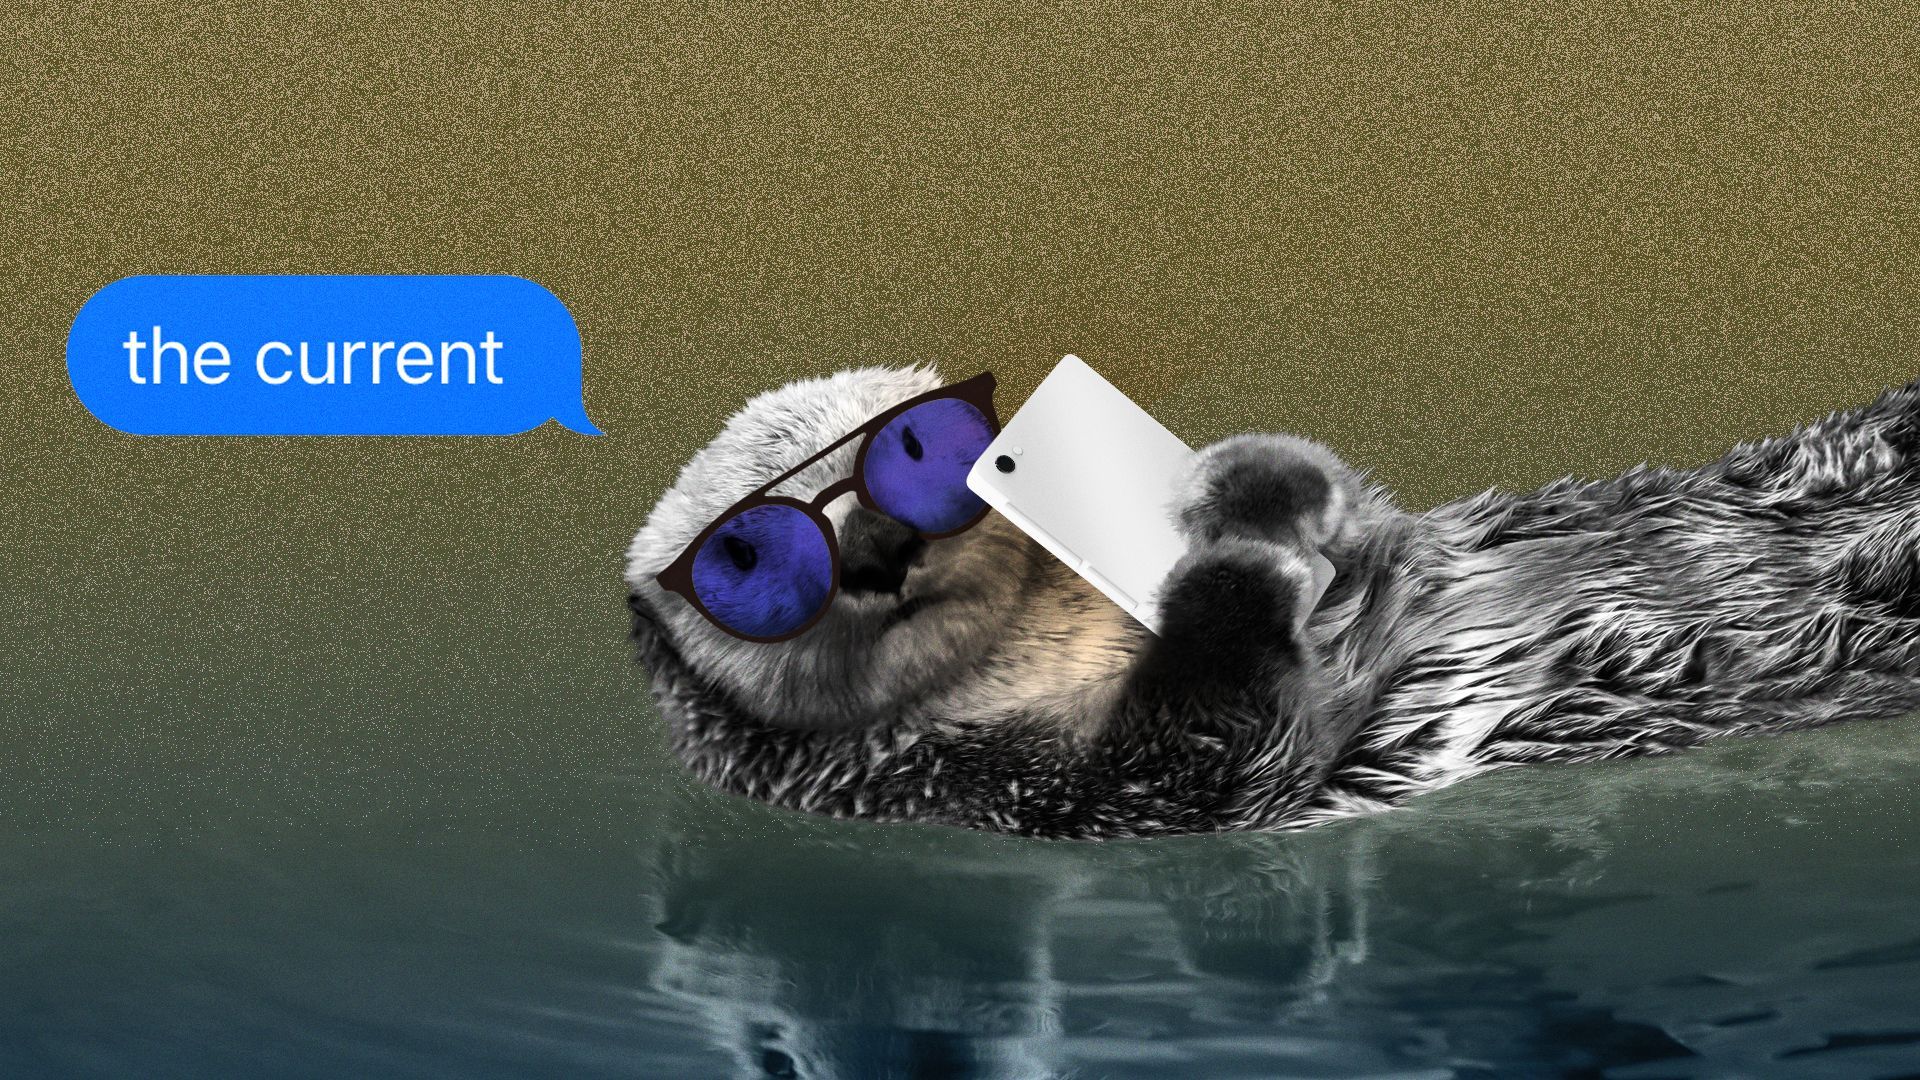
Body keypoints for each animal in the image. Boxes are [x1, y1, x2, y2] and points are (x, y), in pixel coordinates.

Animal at [626, 366, 1920, 838]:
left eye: (914, 447)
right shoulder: (1001, 789)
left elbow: (1352, 510)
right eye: (747, 558)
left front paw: (1246, 485)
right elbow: (1218, 753)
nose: (881, 548)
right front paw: (1235, 577)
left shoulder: (1384, 531)